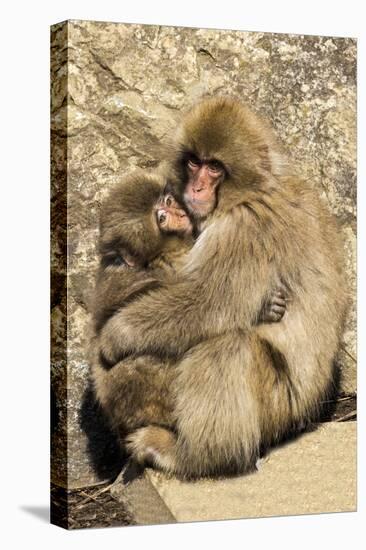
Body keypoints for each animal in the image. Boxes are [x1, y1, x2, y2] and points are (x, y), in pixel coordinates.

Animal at [90, 171, 288, 448]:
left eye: (167, 201)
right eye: (161, 219)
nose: (178, 214)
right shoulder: (171, 264)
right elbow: (204, 304)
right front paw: (264, 308)